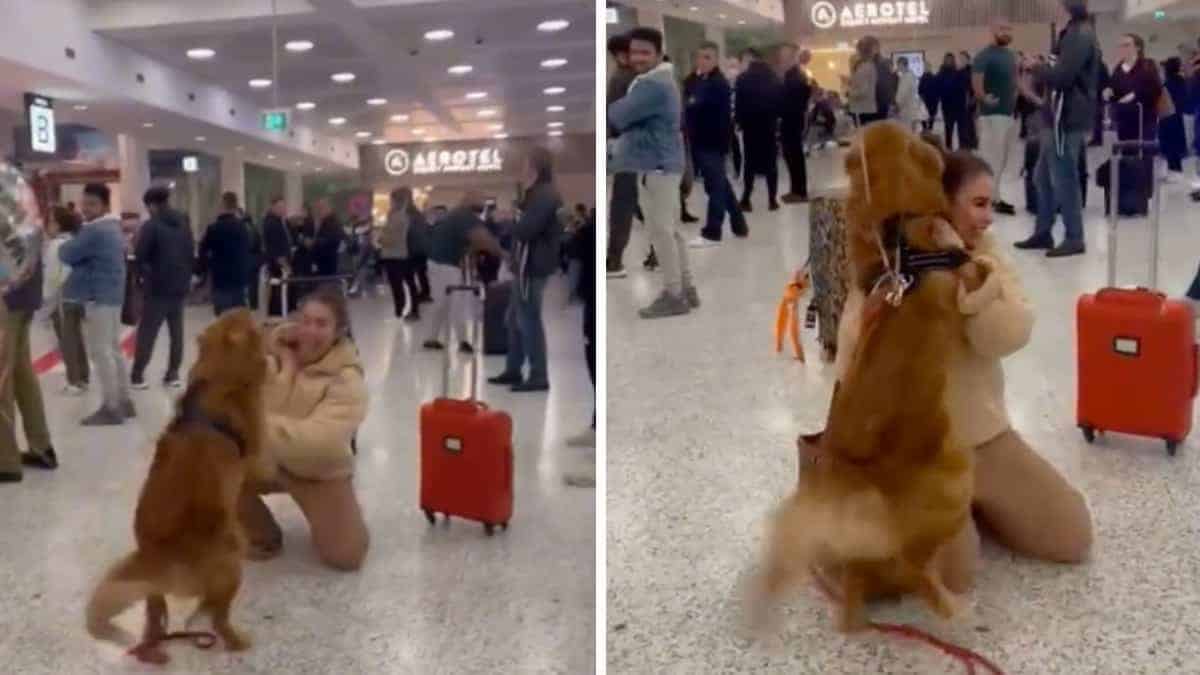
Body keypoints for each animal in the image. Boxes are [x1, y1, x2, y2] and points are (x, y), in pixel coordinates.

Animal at [87, 309, 270, 658]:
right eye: (253, 321)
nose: (268, 316)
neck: (217, 376)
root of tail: (154, 558)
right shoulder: (253, 450)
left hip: (155, 594)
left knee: (155, 614)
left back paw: (153, 649)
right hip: (231, 554)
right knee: (216, 614)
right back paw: (233, 639)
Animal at [748, 120, 984, 629]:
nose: (930, 128)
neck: (898, 225)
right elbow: (968, 260)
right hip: (959, 479)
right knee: (922, 572)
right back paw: (952, 602)